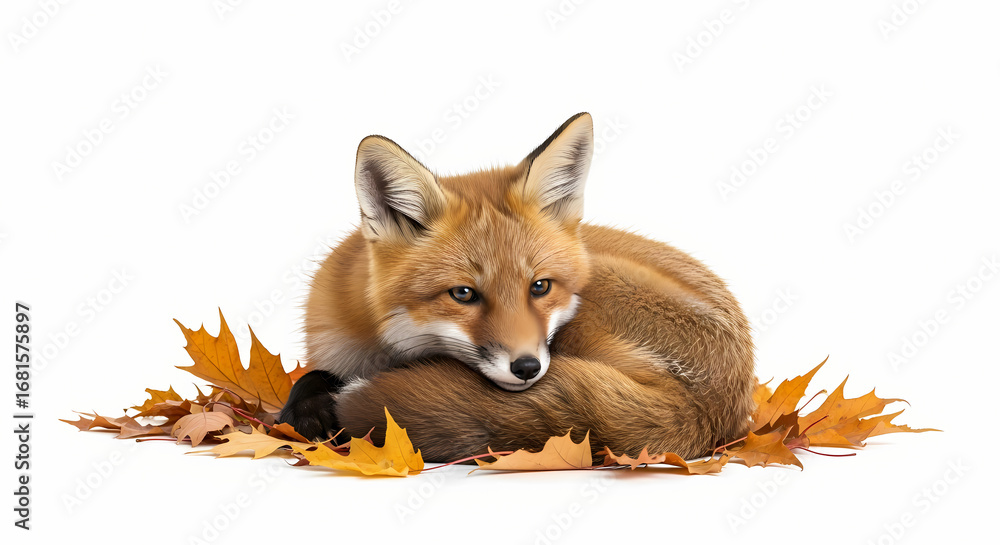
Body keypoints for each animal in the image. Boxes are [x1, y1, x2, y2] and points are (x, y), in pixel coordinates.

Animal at [278, 112, 756, 461]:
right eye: (463, 294)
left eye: (540, 286)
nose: (527, 367)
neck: (382, 344)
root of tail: (713, 413)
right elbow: (312, 377)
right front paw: (304, 414)